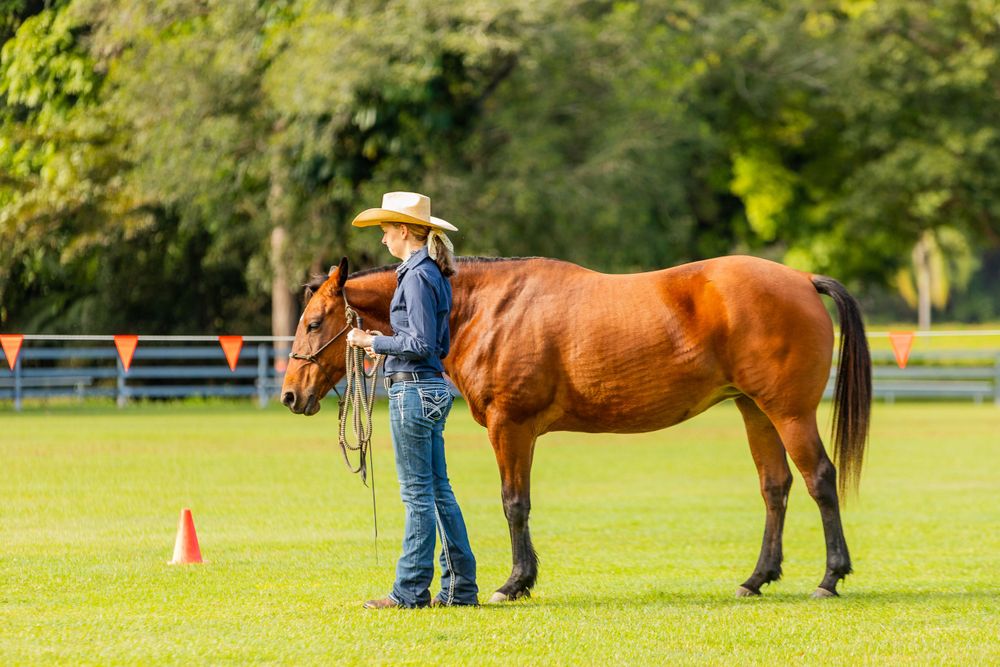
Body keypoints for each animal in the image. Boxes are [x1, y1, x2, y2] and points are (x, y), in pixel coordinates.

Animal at [281, 254, 871, 601]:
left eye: (314, 322)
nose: (290, 394)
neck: (485, 308)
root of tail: (802, 278)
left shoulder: (511, 427)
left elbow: (514, 504)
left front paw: (515, 582)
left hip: (789, 412)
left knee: (820, 479)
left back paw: (830, 578)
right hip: (754, 410)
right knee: (776, 487)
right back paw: (757, 579)